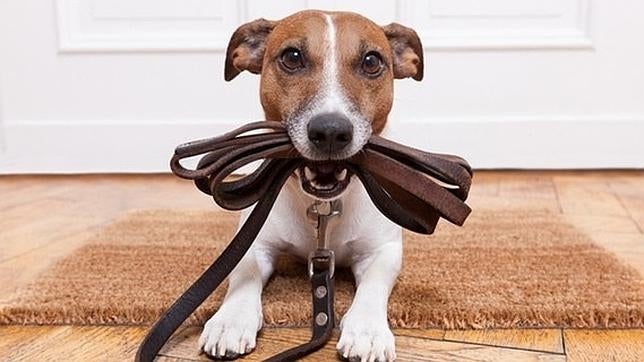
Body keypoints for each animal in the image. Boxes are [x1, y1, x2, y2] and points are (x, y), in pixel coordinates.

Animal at [199, 9, 426, 360]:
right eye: (292, 57)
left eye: (371, 61)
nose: (331, 131)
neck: (322, 206)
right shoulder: (254, 243)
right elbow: (243, 274)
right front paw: (230, 319)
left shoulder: (382, 250)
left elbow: (374, 284)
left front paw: (367, 330)